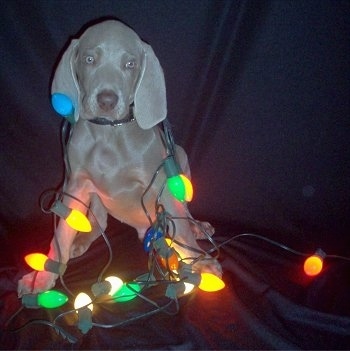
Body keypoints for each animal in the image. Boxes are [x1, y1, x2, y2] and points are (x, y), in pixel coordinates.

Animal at [17, 17, 221, 296]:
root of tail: (142, 230)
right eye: (89, 59)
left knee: (183, 215)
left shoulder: (160, 181)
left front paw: (202, 264)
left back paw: (197, 227)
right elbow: (60, 235)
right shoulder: (75, 184)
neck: (109, 133)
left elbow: (181, 230)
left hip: (179, 156)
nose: (107, 100)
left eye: (130, 64)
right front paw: (41, 278)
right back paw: (81, 241)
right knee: (99, 222)